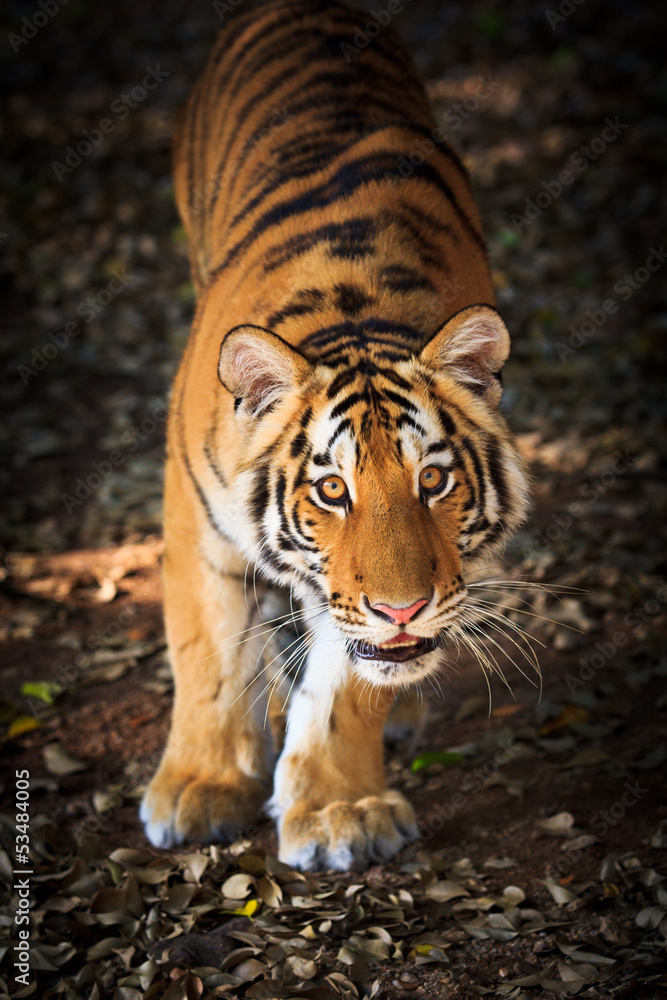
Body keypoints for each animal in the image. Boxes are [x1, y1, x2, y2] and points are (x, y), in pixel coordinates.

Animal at [140, 0, 530, 872]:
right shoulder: (196, 520)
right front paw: (200, 789)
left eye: (432, 480)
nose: (404, 609)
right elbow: (207, 651)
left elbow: (350, 683)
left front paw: (336, 812)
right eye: (330, 490)